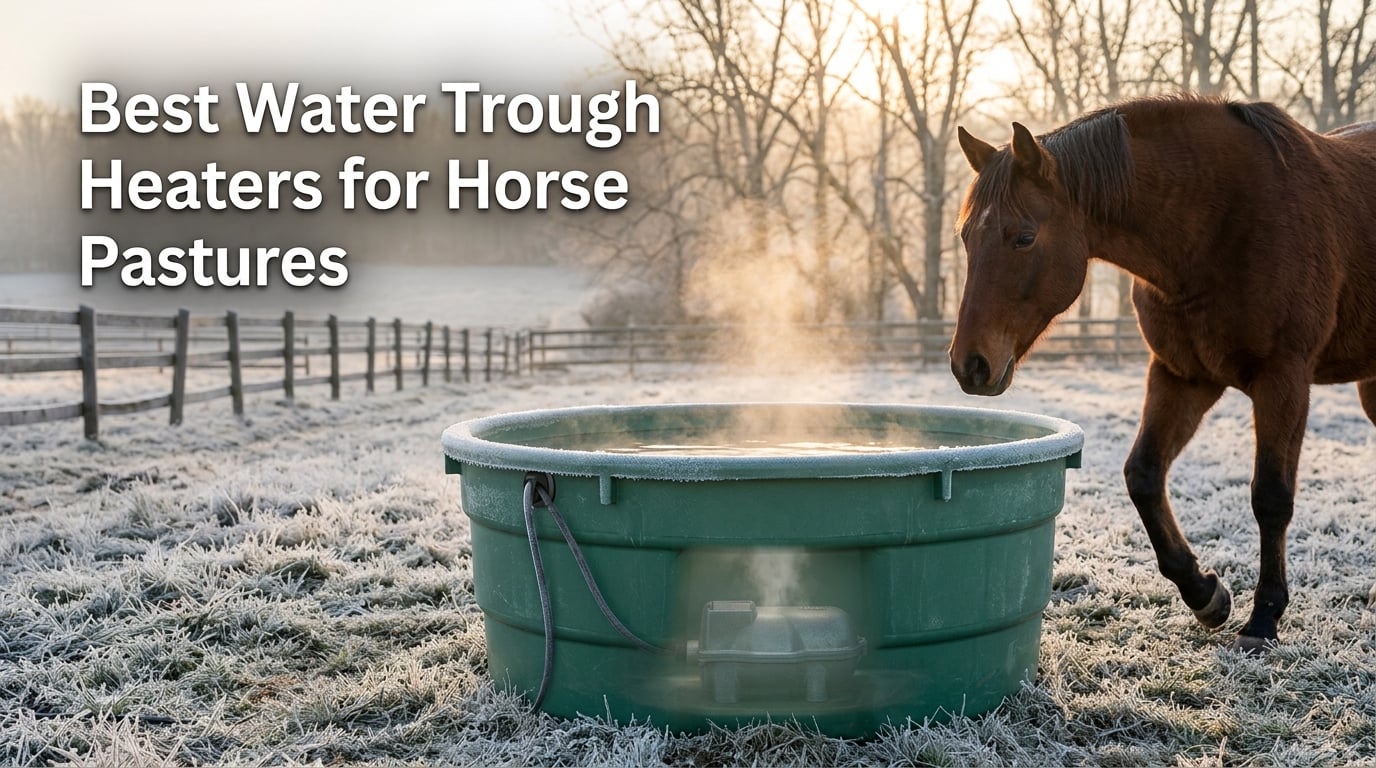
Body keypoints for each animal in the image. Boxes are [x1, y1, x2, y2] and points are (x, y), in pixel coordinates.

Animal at [949, 94, 1376, 651]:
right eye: (965, 238)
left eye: (1023, 237)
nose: (969, 364)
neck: (1222, 226)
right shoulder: (1181, 377)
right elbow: (1144, 476)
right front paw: (1206, 594)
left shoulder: (1283, 380)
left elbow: (1271, 496)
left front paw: (1263, 618)